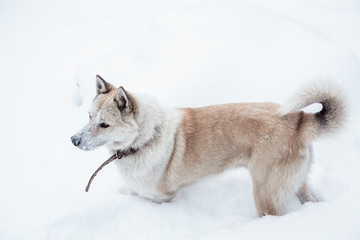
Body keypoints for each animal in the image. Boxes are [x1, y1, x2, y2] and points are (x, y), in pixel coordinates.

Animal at [71, 76, 346, 217]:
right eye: (89, 116)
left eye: (104, 124)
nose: (73, 140)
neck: (146, 138)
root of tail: (299, 119)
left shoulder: (161, 198)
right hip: (295, 182)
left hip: (265, 193)